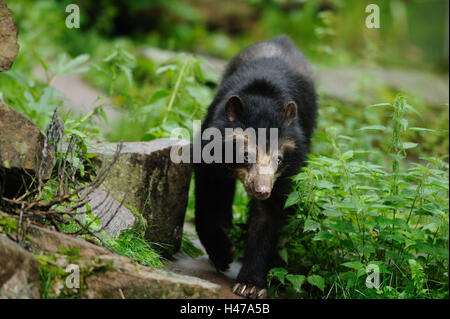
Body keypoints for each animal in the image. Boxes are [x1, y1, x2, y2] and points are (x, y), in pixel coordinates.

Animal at [193, 36, 316, 298]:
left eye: (278, 159)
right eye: (247, 153)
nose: (262, 190)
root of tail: (283, 39)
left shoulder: (290, 167)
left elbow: (267, 216)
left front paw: (250, 285)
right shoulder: (209, 148)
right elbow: (207, 193)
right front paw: (223, 254)